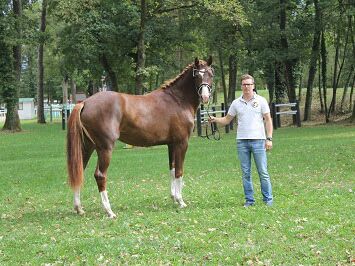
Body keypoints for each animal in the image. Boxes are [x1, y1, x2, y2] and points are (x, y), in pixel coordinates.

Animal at [66, 57, 214, 217]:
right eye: (197, 75)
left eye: (211, 74)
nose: (205, 97)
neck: (177, 100)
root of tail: (85, 102)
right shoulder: (182, 143)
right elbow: (179, 171)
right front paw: (181, 201)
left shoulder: (171, 144)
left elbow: (172, 169)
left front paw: (174, 198)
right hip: (105, 148)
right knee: (100, 175)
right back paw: (109, 211)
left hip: (88, 146)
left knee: (80, 170)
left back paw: (79, 208)